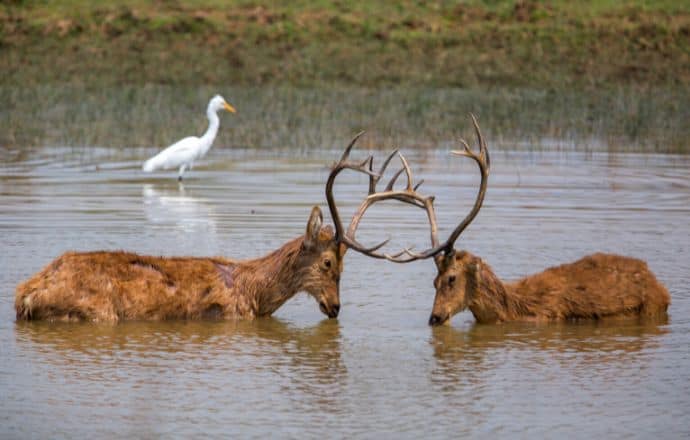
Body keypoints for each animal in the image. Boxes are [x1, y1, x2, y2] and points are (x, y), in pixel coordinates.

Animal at [16, 135, 406, 324]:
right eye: (328, 263)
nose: (335, 307)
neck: (255, 292)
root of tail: (25, 295)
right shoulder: (231, 316)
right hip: (97, 311)